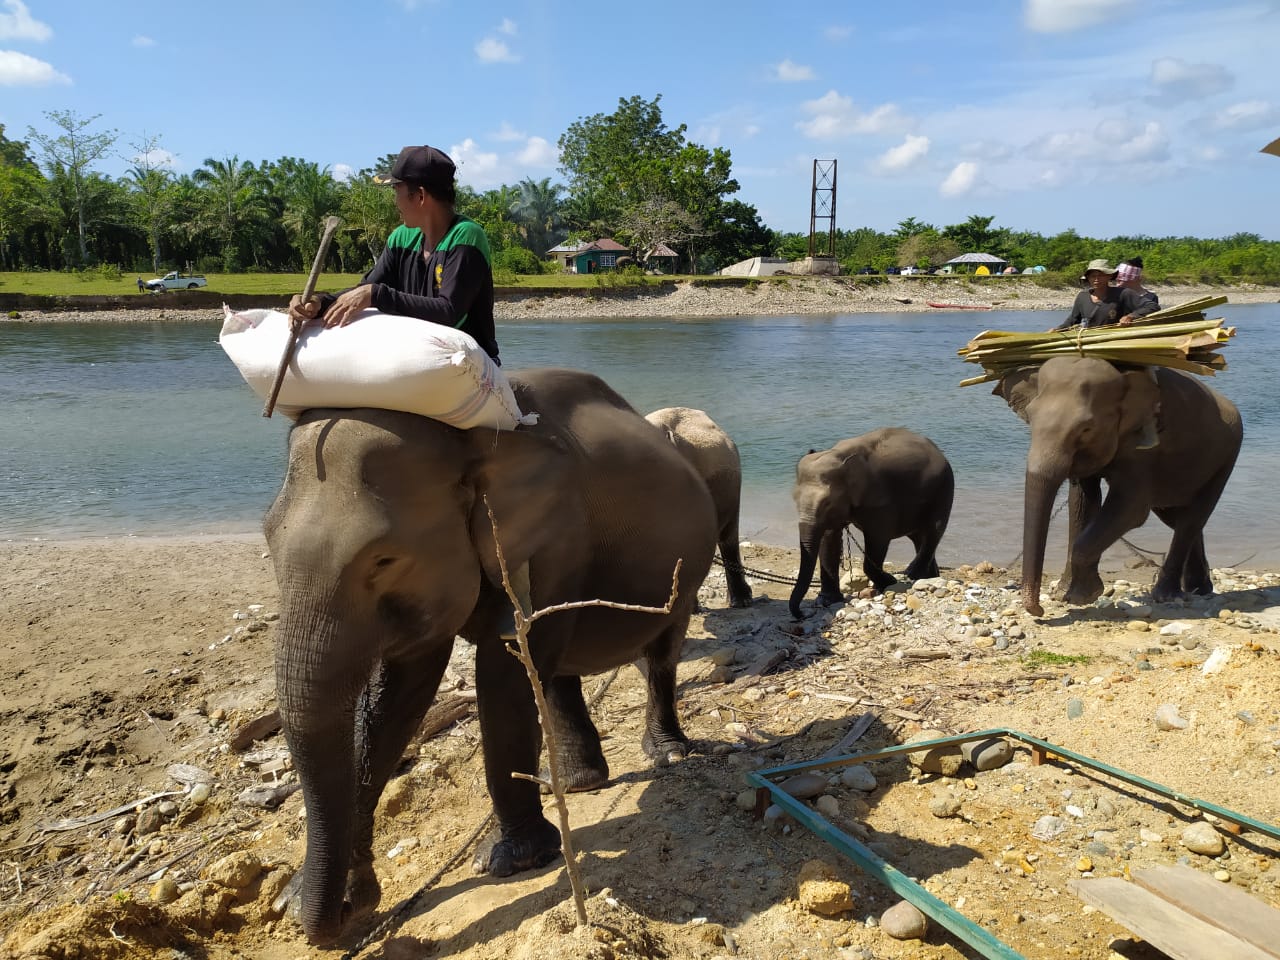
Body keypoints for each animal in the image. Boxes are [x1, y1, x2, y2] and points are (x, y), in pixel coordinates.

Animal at [263, 371, 716, 947]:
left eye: (383, 559)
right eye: (267, 538)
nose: (343, 915)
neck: (474, 444)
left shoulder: (552, 541)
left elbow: (503, 672)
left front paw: (509, 860)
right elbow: (399, 691)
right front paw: (303, 900)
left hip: (687, 568)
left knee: (659, 654)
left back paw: (668, 755)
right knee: (558, 671)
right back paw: (574, 782)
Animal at [783, 430, 957, 624]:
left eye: (827, 503)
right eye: (794, 498)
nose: (803, 614)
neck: (840, 455)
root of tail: (938, 451)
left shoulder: (880, 502)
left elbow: (878, 538)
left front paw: (889, 582)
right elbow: (829, 540)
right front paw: (826, 601)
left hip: (944, 490)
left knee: (933, 532)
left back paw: (911, 576)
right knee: (919, 538)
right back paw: (929, 578)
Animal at [993, 358, 1244, 616]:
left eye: (1086, 429)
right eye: (1030, 417)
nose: (1039, 610)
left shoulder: (1145, 446)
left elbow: (1131, 510)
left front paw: (1083, 596)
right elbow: (1082, 500)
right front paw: (1064, 593)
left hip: (1226, 458)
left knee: (1191, 519)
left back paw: (1167, 595)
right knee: (1178, 518)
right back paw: (1199, 589)